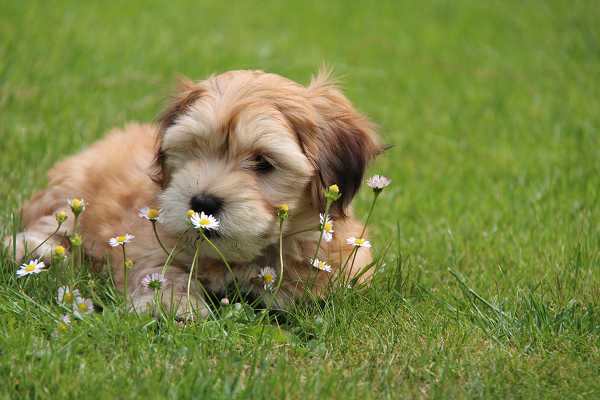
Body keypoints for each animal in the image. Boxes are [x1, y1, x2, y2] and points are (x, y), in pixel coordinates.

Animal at [5, 69, 382, 316]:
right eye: (194, 150)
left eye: (263, 162)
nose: (202, 202)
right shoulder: (148, 242)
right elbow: (160, 272)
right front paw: (175, 306)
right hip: (72, 190)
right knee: (53, 227)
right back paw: (29, 249)